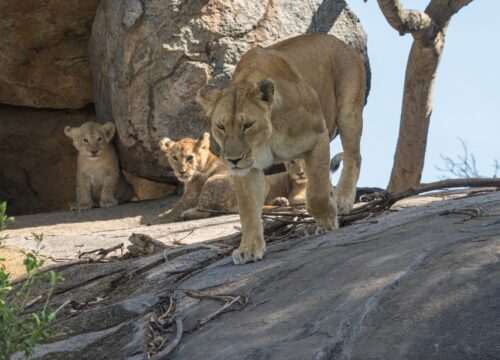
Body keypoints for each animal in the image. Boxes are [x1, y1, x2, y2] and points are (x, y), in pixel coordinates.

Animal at [197, 33, 366, 264]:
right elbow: (248, 210)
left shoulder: (317, 137)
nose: (232, 159)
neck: (265, 140)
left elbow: (316, 193)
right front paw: (249, 249)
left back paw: (341, 201)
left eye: (247, 125)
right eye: (221, 126)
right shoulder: (247, 169)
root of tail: (340, 42)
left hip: (348, 111)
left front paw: (326, 221)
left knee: (353, 157)